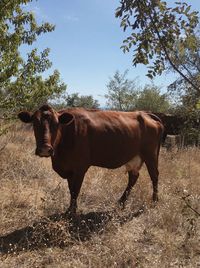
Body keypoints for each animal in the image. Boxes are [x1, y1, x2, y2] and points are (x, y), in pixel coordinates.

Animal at [18, 104, 163, 214]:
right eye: (35, 123)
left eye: (56, 124)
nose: (45, 149)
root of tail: (145, 114)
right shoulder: (69, 169)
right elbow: (71, 189)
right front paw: (71, 209)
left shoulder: (80, 168)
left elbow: (75, 190)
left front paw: (71, 212)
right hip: (134, 157)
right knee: (133, 177)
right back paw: (121, 202)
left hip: (150, 154)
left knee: (154, 175)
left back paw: (154, 201)